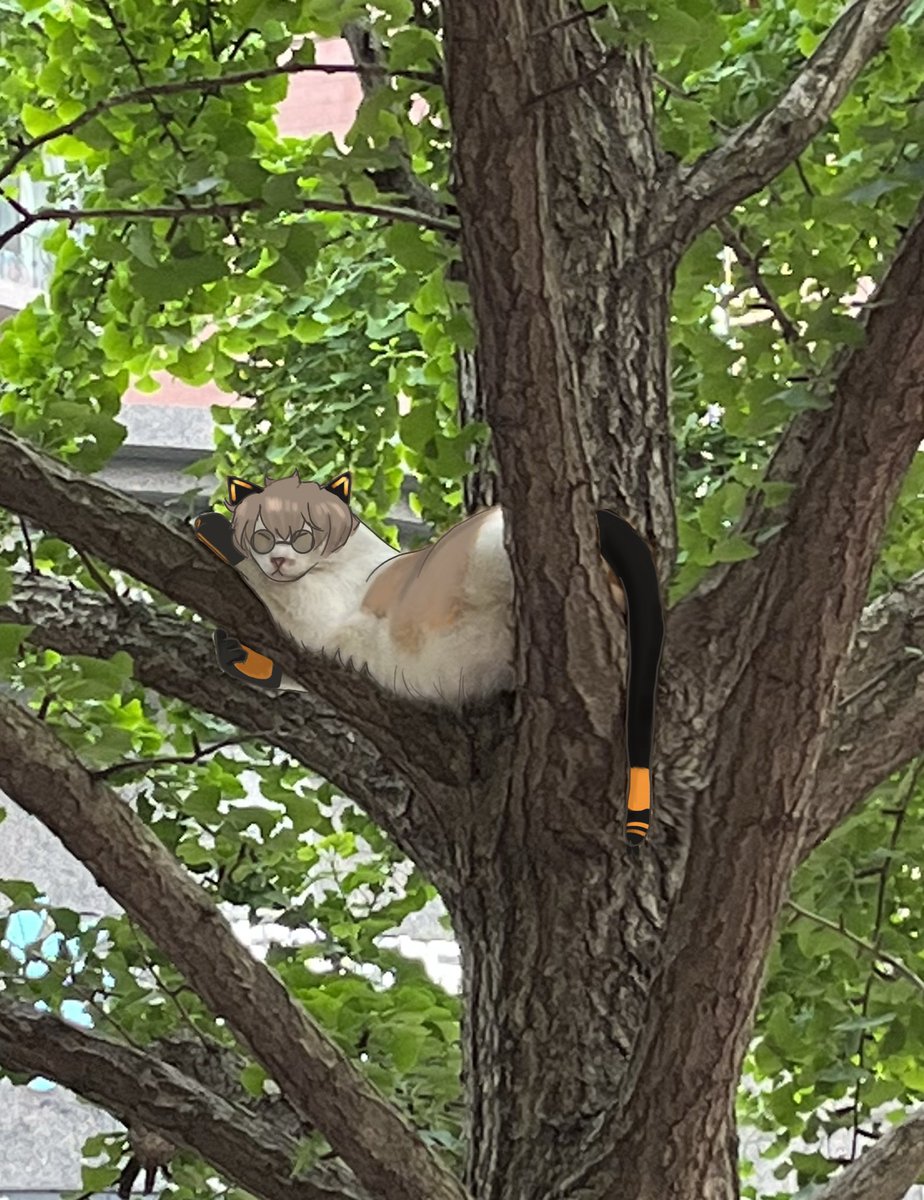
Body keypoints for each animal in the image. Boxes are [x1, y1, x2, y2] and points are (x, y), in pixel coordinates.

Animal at [194, 470, 664, 852]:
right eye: (264, 537)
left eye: (302, 536)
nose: (278, 558)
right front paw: (237, 653)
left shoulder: (320, 614)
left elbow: (267, 585)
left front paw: (210, 529)